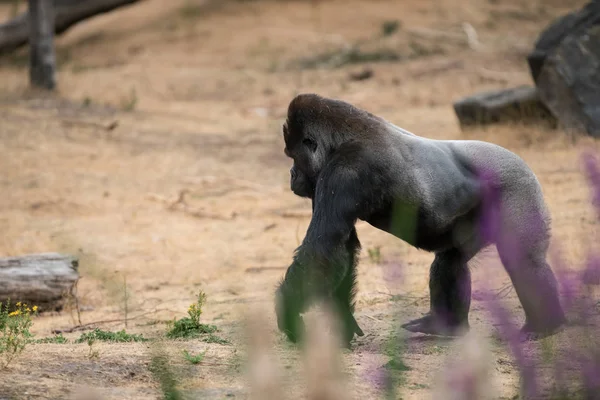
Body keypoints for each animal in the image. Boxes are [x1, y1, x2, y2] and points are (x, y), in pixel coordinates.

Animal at [276, 92, 568, 346]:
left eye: (293, 156)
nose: (291, 174)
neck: (340, 139)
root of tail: (522, 162)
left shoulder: (343, 171)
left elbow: (323, 248)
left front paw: (289, 313)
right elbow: (339, 249)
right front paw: (343, 321)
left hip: (519, 187)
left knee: (523, 261)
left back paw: (545, 325)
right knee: (450, 261)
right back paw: (446, 325)